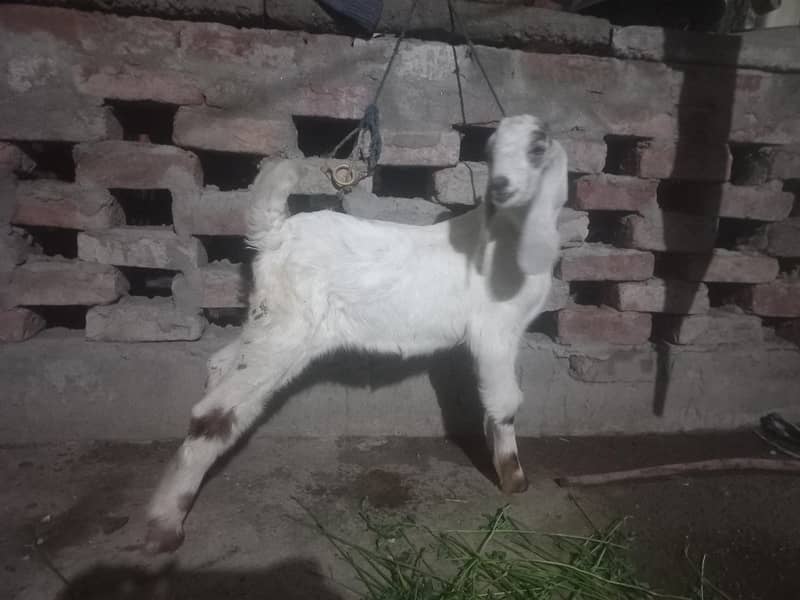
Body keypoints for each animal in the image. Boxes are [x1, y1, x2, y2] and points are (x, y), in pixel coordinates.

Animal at [144, 114, 568, 553]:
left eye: (538, 147)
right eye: (489, 150)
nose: (501, 187)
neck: (510, 235)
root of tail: (274, 233)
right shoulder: (496, 330)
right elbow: (505, 402)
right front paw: (514, 479)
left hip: (271, 320)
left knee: (221, 365)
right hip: (288, 326)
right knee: (213, 413)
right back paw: (165, 525)